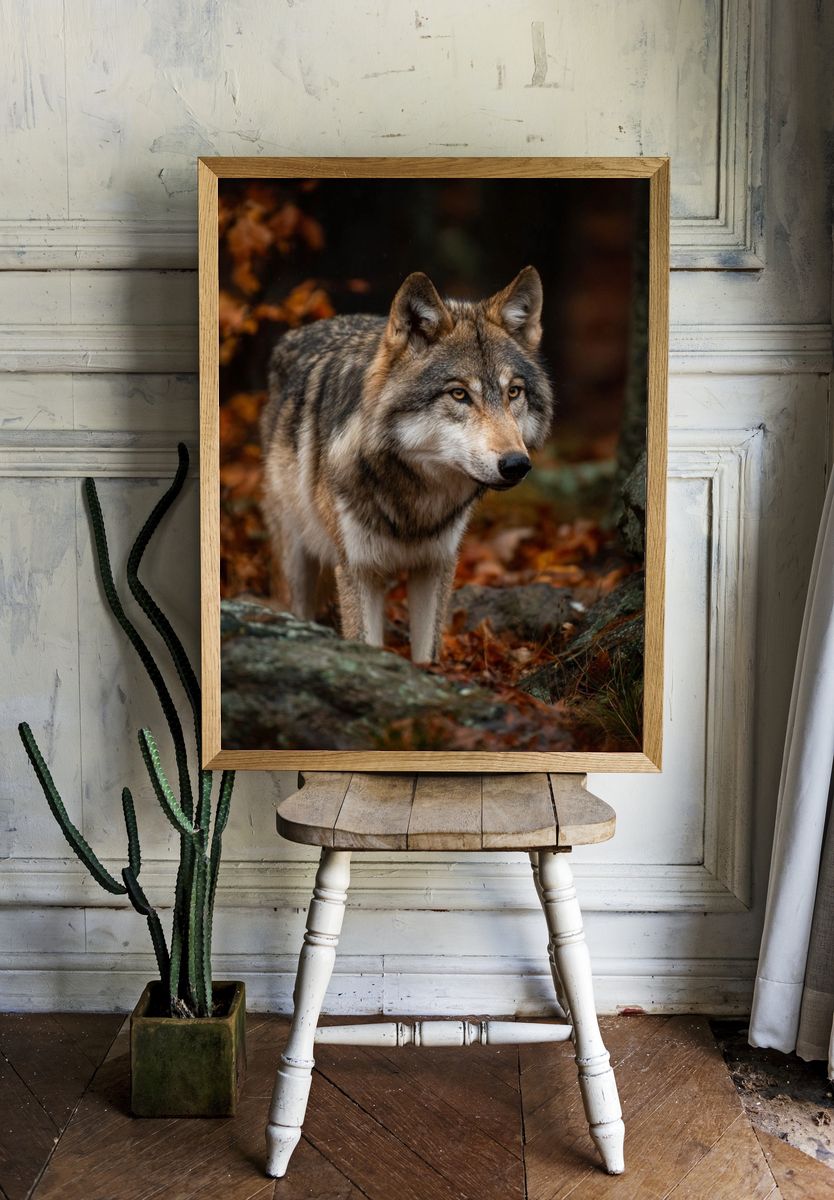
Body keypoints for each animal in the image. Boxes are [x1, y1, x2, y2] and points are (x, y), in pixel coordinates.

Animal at [259, 266, 554, 662]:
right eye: (459, 394)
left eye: (514, 392)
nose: (516, 464)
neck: (415, 502)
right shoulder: (358, 570)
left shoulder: (435, 565)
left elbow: (426, 656)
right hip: (296, 562)